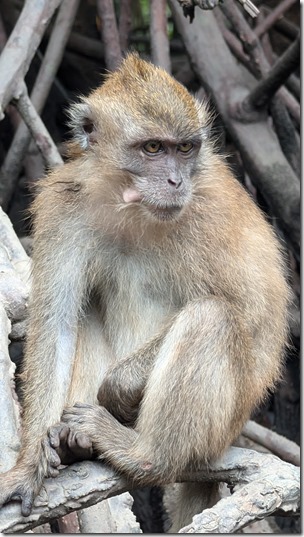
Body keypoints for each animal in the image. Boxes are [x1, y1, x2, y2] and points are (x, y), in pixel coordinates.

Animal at [0, 52, 288, 528]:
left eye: (184, 149)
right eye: (153, 149)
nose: (175, 182)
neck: (131, 208)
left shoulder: (210, 210)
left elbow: (256, 311)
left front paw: (117, 390)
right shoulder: (64, 205)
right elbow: (56, 325)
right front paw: (27, 467)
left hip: (225, 423)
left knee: (212, 316)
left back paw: (143, 454)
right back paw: (75, 445)